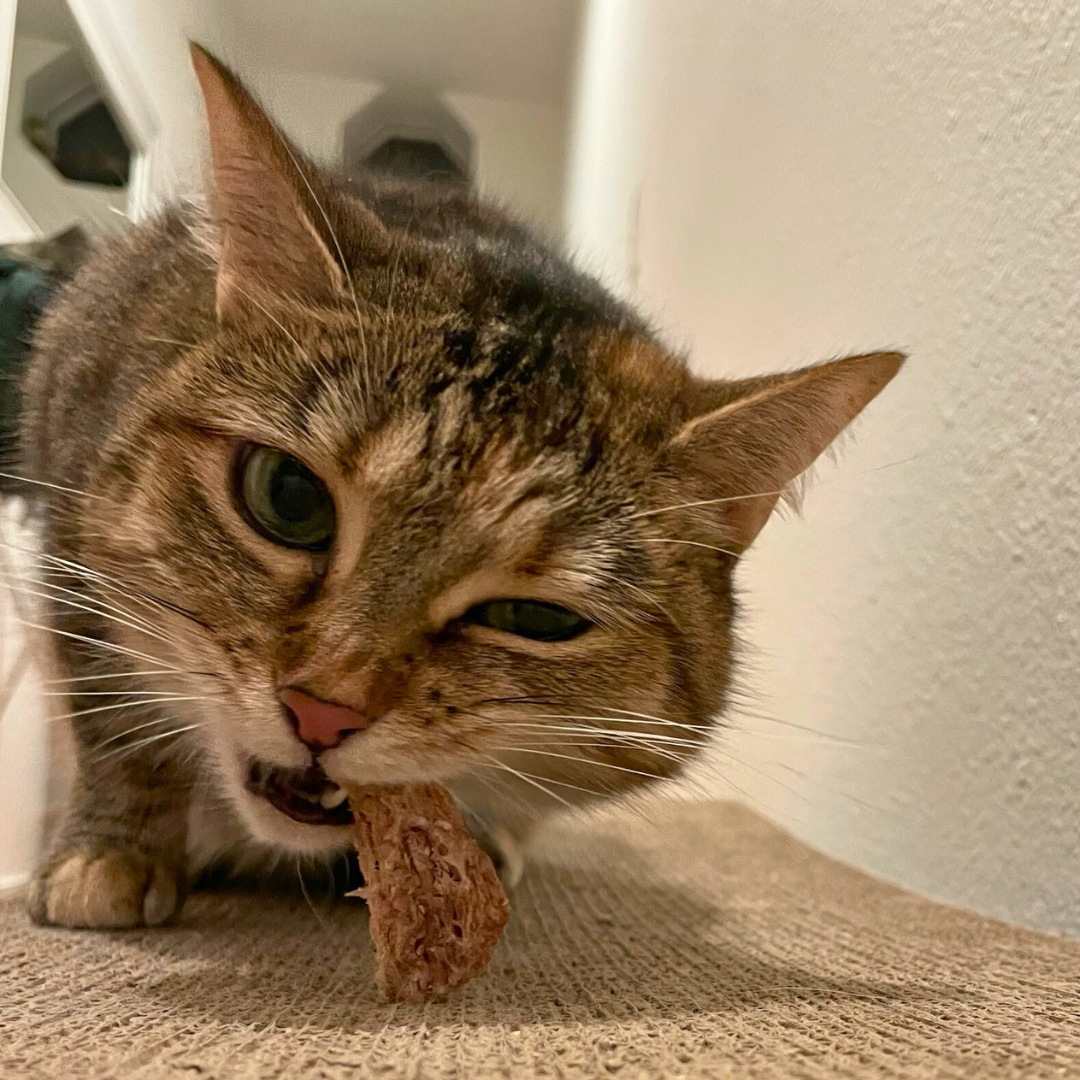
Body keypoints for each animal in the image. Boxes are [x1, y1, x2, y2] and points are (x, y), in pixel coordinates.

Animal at [19, 48, 902, 928]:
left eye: (536, 619)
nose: (322, 712)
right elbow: (114, 719)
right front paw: (111, 853)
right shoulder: (69, 524)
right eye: (288, 497)